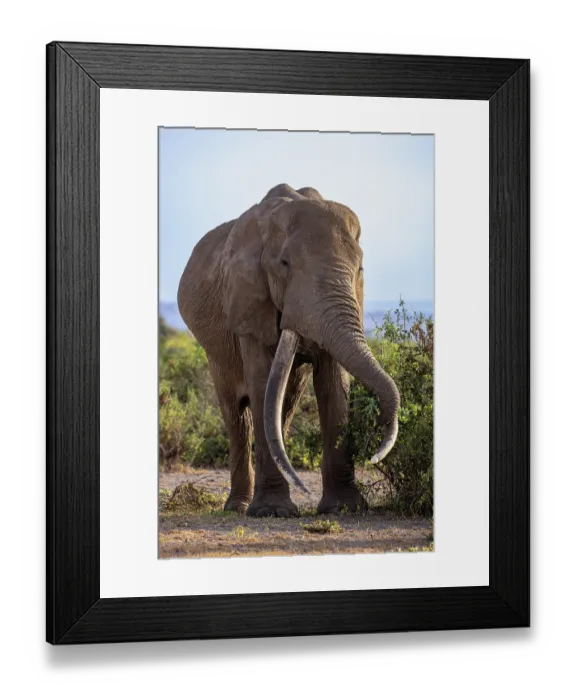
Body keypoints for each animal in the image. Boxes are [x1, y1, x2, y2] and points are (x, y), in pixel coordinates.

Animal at [177, 184, 400, 517]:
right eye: (284, 265)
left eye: (360, 267)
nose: (374, 457)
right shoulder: (248, 300)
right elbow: (260, 381)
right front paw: (272, 511)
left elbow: (334, 384)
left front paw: (343, 508)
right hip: (215, 353)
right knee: (236, 413)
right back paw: (237, 507)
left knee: (284, 405)